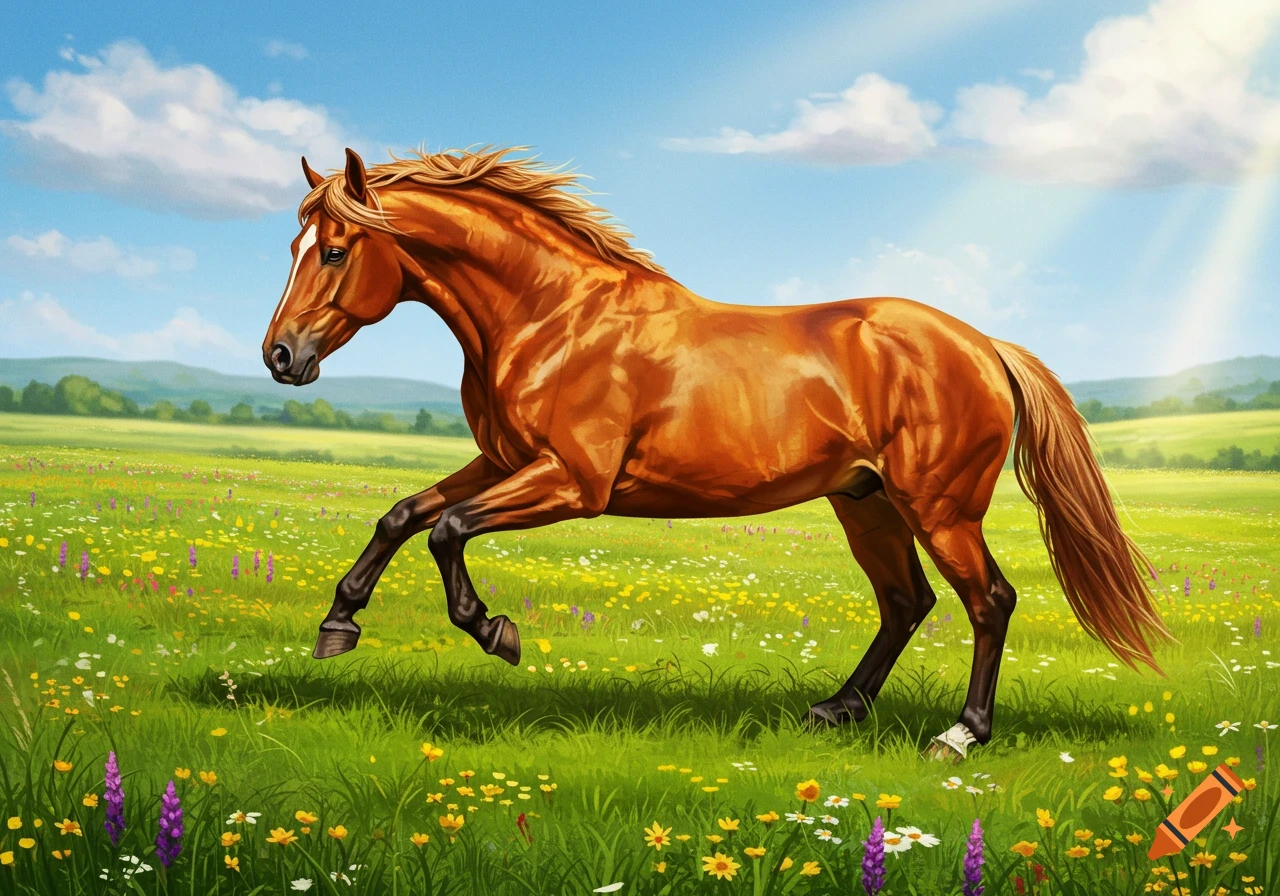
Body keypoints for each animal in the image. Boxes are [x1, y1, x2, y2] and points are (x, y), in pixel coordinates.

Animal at [261, 145, 1170, 759]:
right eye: (294, 249)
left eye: (335, 250)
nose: (281, 356)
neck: (553, 316)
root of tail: (983, 344)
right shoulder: (503, 460)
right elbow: (402, 515)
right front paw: (338, 626)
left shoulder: (571, 482)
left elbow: (447, 530)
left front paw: (497, 633)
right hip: (866, 503)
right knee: (905, 602)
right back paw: (836, 709)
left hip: (939, 508)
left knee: (988, 601)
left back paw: (959, 735)